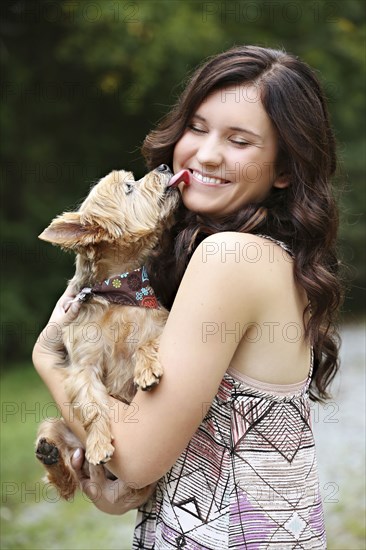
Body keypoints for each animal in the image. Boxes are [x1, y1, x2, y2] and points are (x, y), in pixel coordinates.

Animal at [35, 164, 186, 500]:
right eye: (129, 187)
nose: (164, 166)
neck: (119, 290)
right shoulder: (83, 368)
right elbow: (92, 406)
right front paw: (99, 443)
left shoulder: (163, 325)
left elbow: (145, 343)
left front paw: (145, 370)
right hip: (56, 424)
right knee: (65, 476)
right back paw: (52, 458)